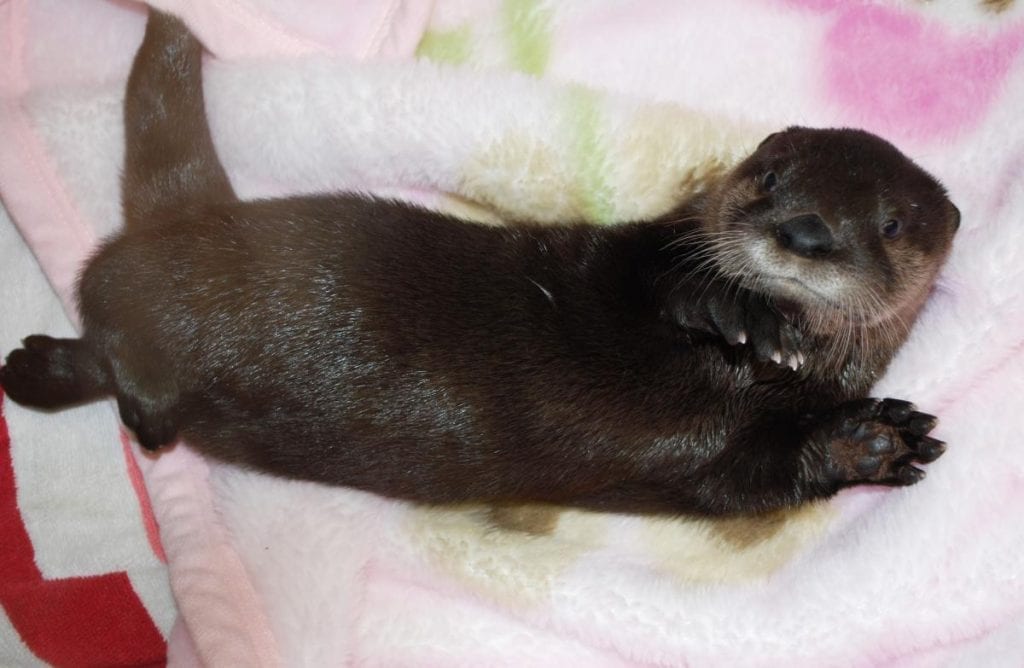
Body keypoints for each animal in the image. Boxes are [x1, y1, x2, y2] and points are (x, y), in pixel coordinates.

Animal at [0, 13, 958, 518]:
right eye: (768, 180)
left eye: (890, 222)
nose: (806, 233)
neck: (748, 381)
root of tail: (190, 217)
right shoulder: (635, 255)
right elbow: (655, 278)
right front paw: (740, 309)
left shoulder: (726, 462)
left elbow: (762, 475)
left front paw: (877, 439)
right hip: (163, 290)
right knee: (102, 304)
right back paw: (80, 387)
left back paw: (41, 372)